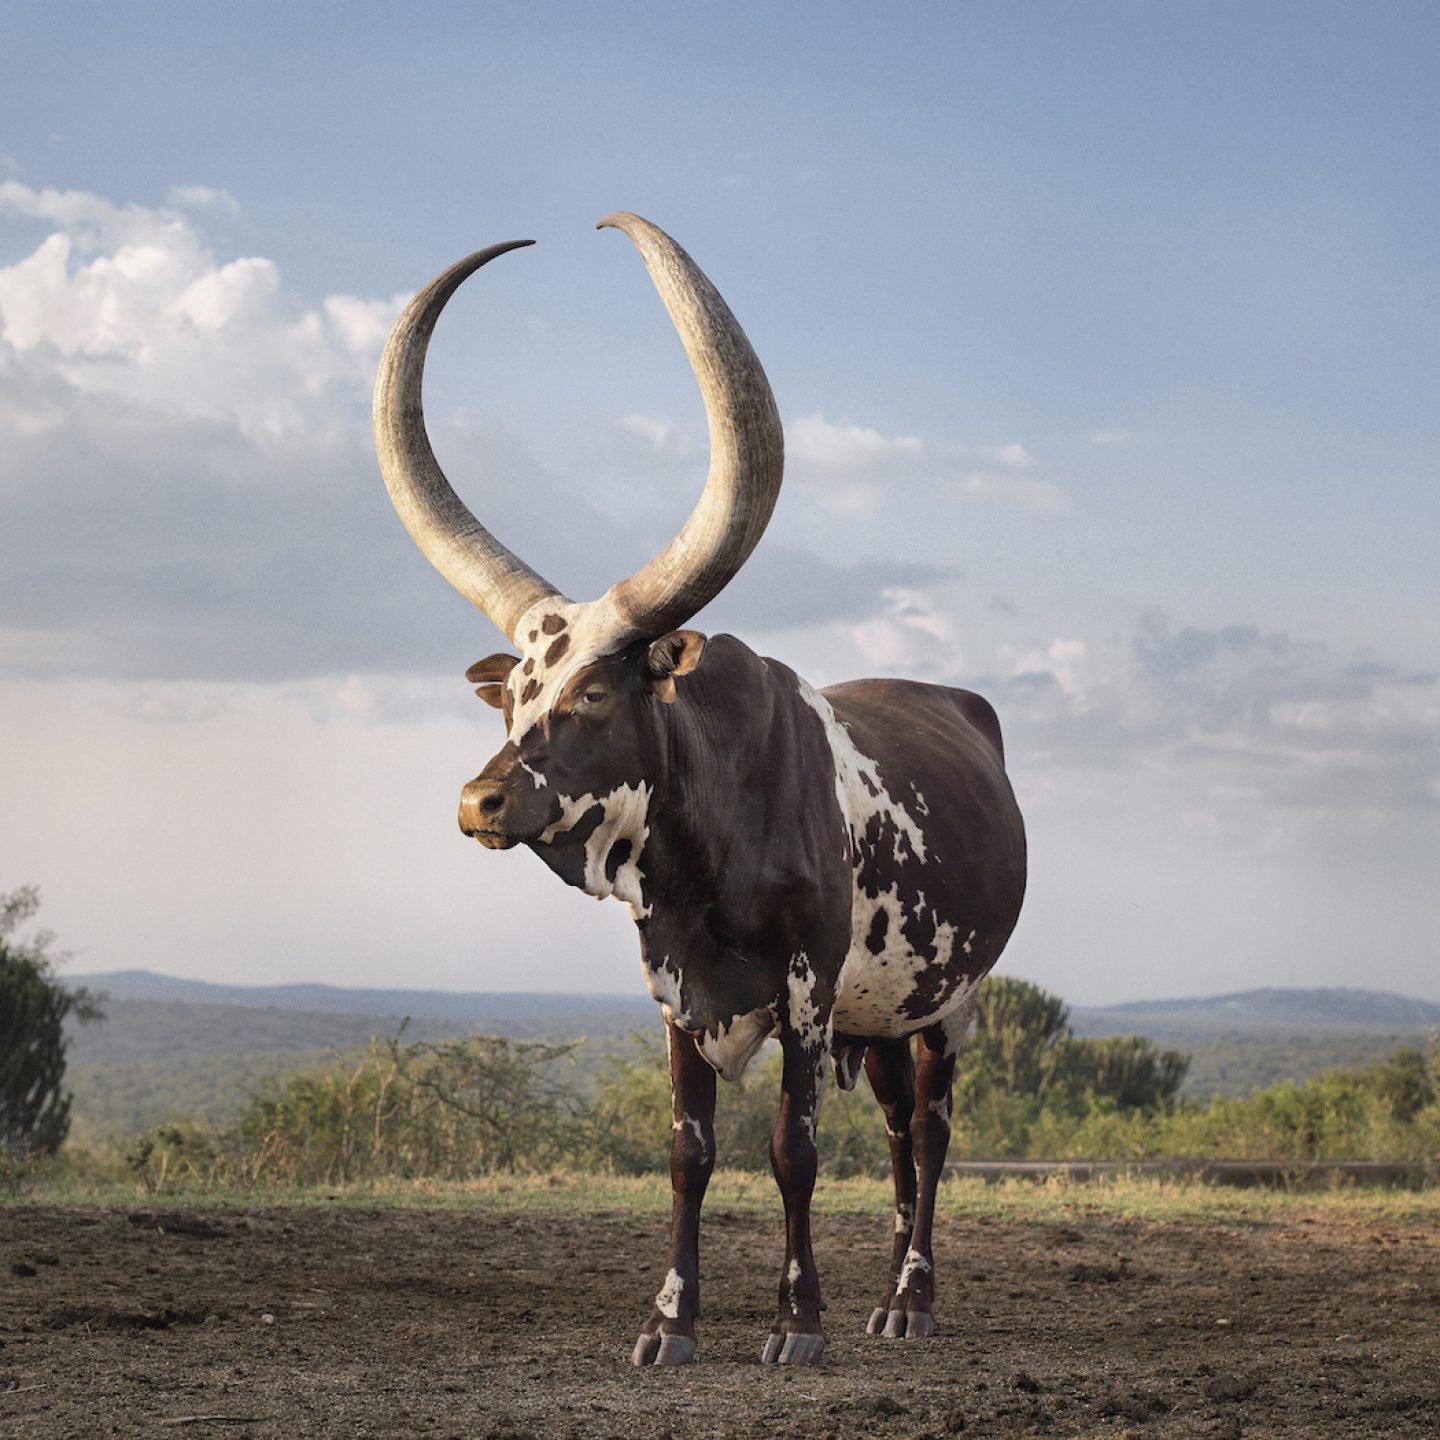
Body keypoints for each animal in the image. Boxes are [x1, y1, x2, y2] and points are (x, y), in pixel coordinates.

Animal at [371, 213, 1025, 1359]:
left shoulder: (807, 995)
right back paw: (886, 1299)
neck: (709, 860)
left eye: (594, 692)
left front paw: (797, 1322)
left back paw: (913, 1299)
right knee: (899, 1135)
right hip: (881, 1014)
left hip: (949, 1004)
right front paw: (669, 1320)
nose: (477, 803)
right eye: (513, 697)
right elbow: (689, 1153)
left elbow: (793, 1154)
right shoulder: (676, 995)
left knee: (935, 1133)